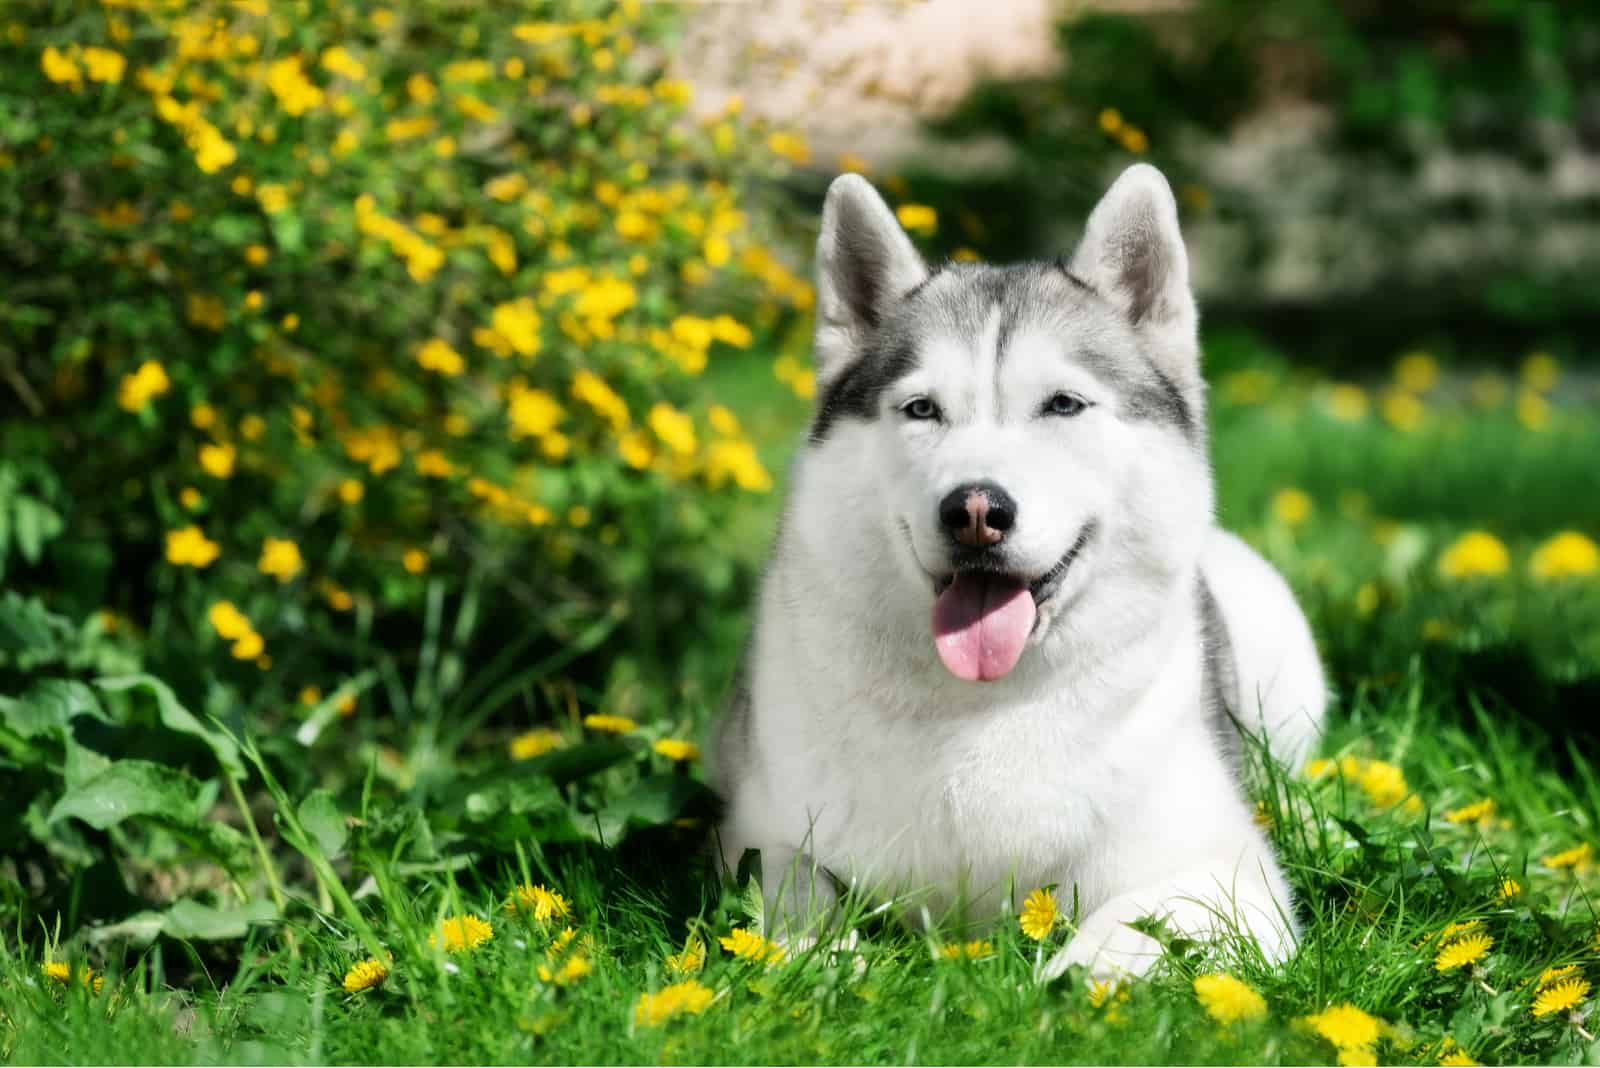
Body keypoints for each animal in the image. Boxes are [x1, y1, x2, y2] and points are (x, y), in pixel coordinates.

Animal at [710, 163, 1324, 978]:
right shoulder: (760, 839)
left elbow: (1130, 931)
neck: (983, 706)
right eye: (922, 409)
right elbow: (791, 894)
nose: (974, 510)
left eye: (1063, 404)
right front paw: (831, 959)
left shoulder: (1233, 877)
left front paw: (1073, 981)